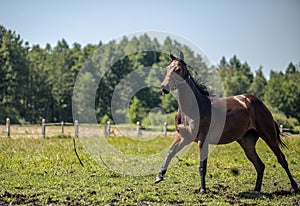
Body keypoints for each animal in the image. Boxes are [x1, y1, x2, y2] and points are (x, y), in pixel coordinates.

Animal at [156, 51, 298, 193]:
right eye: (167, 68)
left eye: (178, 69)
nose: (164, 87)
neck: (192, 108)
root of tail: (259, 103)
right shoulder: (183, 136)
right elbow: (170, 152)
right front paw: (159, 176)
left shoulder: (202, 139)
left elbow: (202, 166)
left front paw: (203, 190)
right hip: (247, 142)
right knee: (260, 165)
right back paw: (256, 190)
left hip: (268, 135)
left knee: (281, 159)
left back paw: (294, 186)